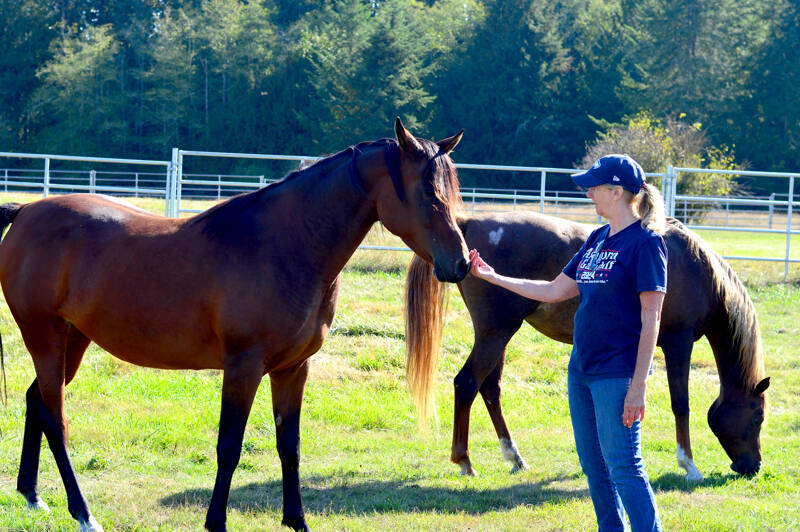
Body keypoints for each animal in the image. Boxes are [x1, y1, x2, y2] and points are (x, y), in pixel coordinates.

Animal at [0, 118, 470, 532]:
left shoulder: (292, 369)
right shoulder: (243, 367)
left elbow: (289, 446)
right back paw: (83, 514)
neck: (285, 246)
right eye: (428, 194)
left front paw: (296, 521)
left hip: (73, 340)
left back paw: (32, 495)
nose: (462, 263)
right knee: (56, 420)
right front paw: (216, 522)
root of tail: (25, 211)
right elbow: (229, 446)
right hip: (44, 337)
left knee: (36, 402)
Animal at [404, 210, 770, 481]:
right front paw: (689, 465)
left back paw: (514, 456)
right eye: (757, 418)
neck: (698, 269)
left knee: (490, 388)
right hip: (495, 333)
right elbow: (681, 404)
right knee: (467, 383)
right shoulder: (677, 343)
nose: (752, 467)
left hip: (498, 335)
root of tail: (467, 223)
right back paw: (464, 461)